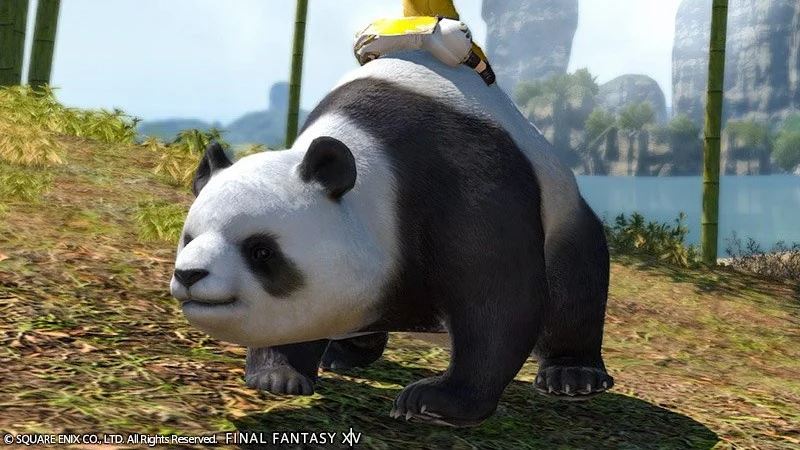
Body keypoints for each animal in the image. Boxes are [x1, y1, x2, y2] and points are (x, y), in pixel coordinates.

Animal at [170, 50, 614, 428]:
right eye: (188, 238)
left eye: (261, 251)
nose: (190, 275)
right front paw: (278, 376)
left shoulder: (465, 187)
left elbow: (500, 298)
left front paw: (436, 401)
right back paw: (344, 354)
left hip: (563, 214)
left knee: (575, 284)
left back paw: (572, 375)